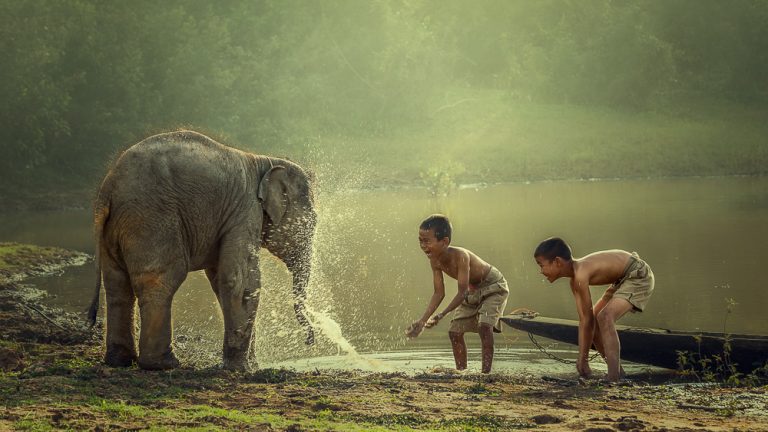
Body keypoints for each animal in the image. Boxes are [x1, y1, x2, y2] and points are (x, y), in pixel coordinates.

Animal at [87, 130, 316, 371]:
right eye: (310, 223)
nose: (309, 341)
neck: (265, 161)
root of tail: (108, 188)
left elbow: (220, 280)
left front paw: (249, 365)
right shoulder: (245, 212)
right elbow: (240, 281)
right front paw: (243, 368)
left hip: (116, 229)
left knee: (117, 285)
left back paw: (119, 361)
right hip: (151, 221)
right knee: (161, 281)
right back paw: (163, 364)